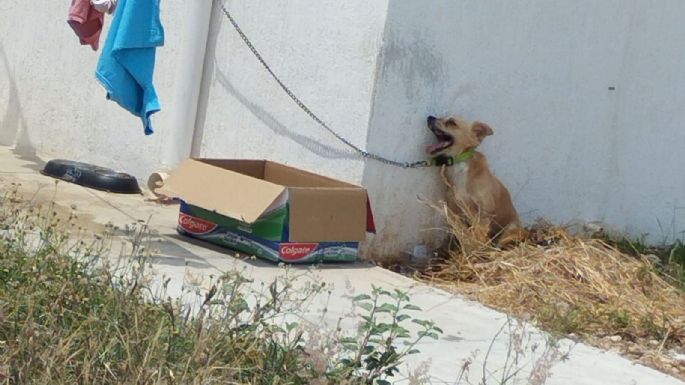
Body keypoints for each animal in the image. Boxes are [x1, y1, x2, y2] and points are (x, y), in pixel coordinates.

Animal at [422, 114, 524, 243]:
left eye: (451, 122)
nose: (430, 117)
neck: (460, 166)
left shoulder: (484, 212)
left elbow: (479, 235)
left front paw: (478, 247)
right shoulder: (455, 211)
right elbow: (463, 233)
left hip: (510, 230)